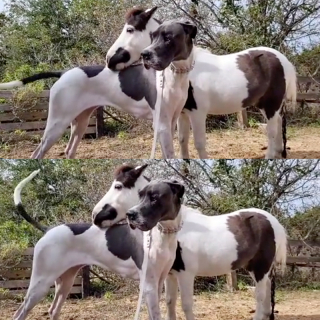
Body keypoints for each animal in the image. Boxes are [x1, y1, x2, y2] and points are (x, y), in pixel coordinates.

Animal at [13, 165, 286, 320]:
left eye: (118, 186)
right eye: (142, 195)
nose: (96, 215)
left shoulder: (180, 276)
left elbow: (181, 308)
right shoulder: (164, 280)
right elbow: (170, 309)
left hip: (260, 273)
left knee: (262, 307)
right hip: (47, 283)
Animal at [108, 6, 298, 159]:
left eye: (130, 29)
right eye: (153, 36)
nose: (110, 60)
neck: (186, 71)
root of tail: (282, 59)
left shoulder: (197, 112)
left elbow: (199, 143)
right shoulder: (182, 113)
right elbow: (183, 140)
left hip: (271, 105)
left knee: (272, 133)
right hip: (269, 106)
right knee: (278, 128)